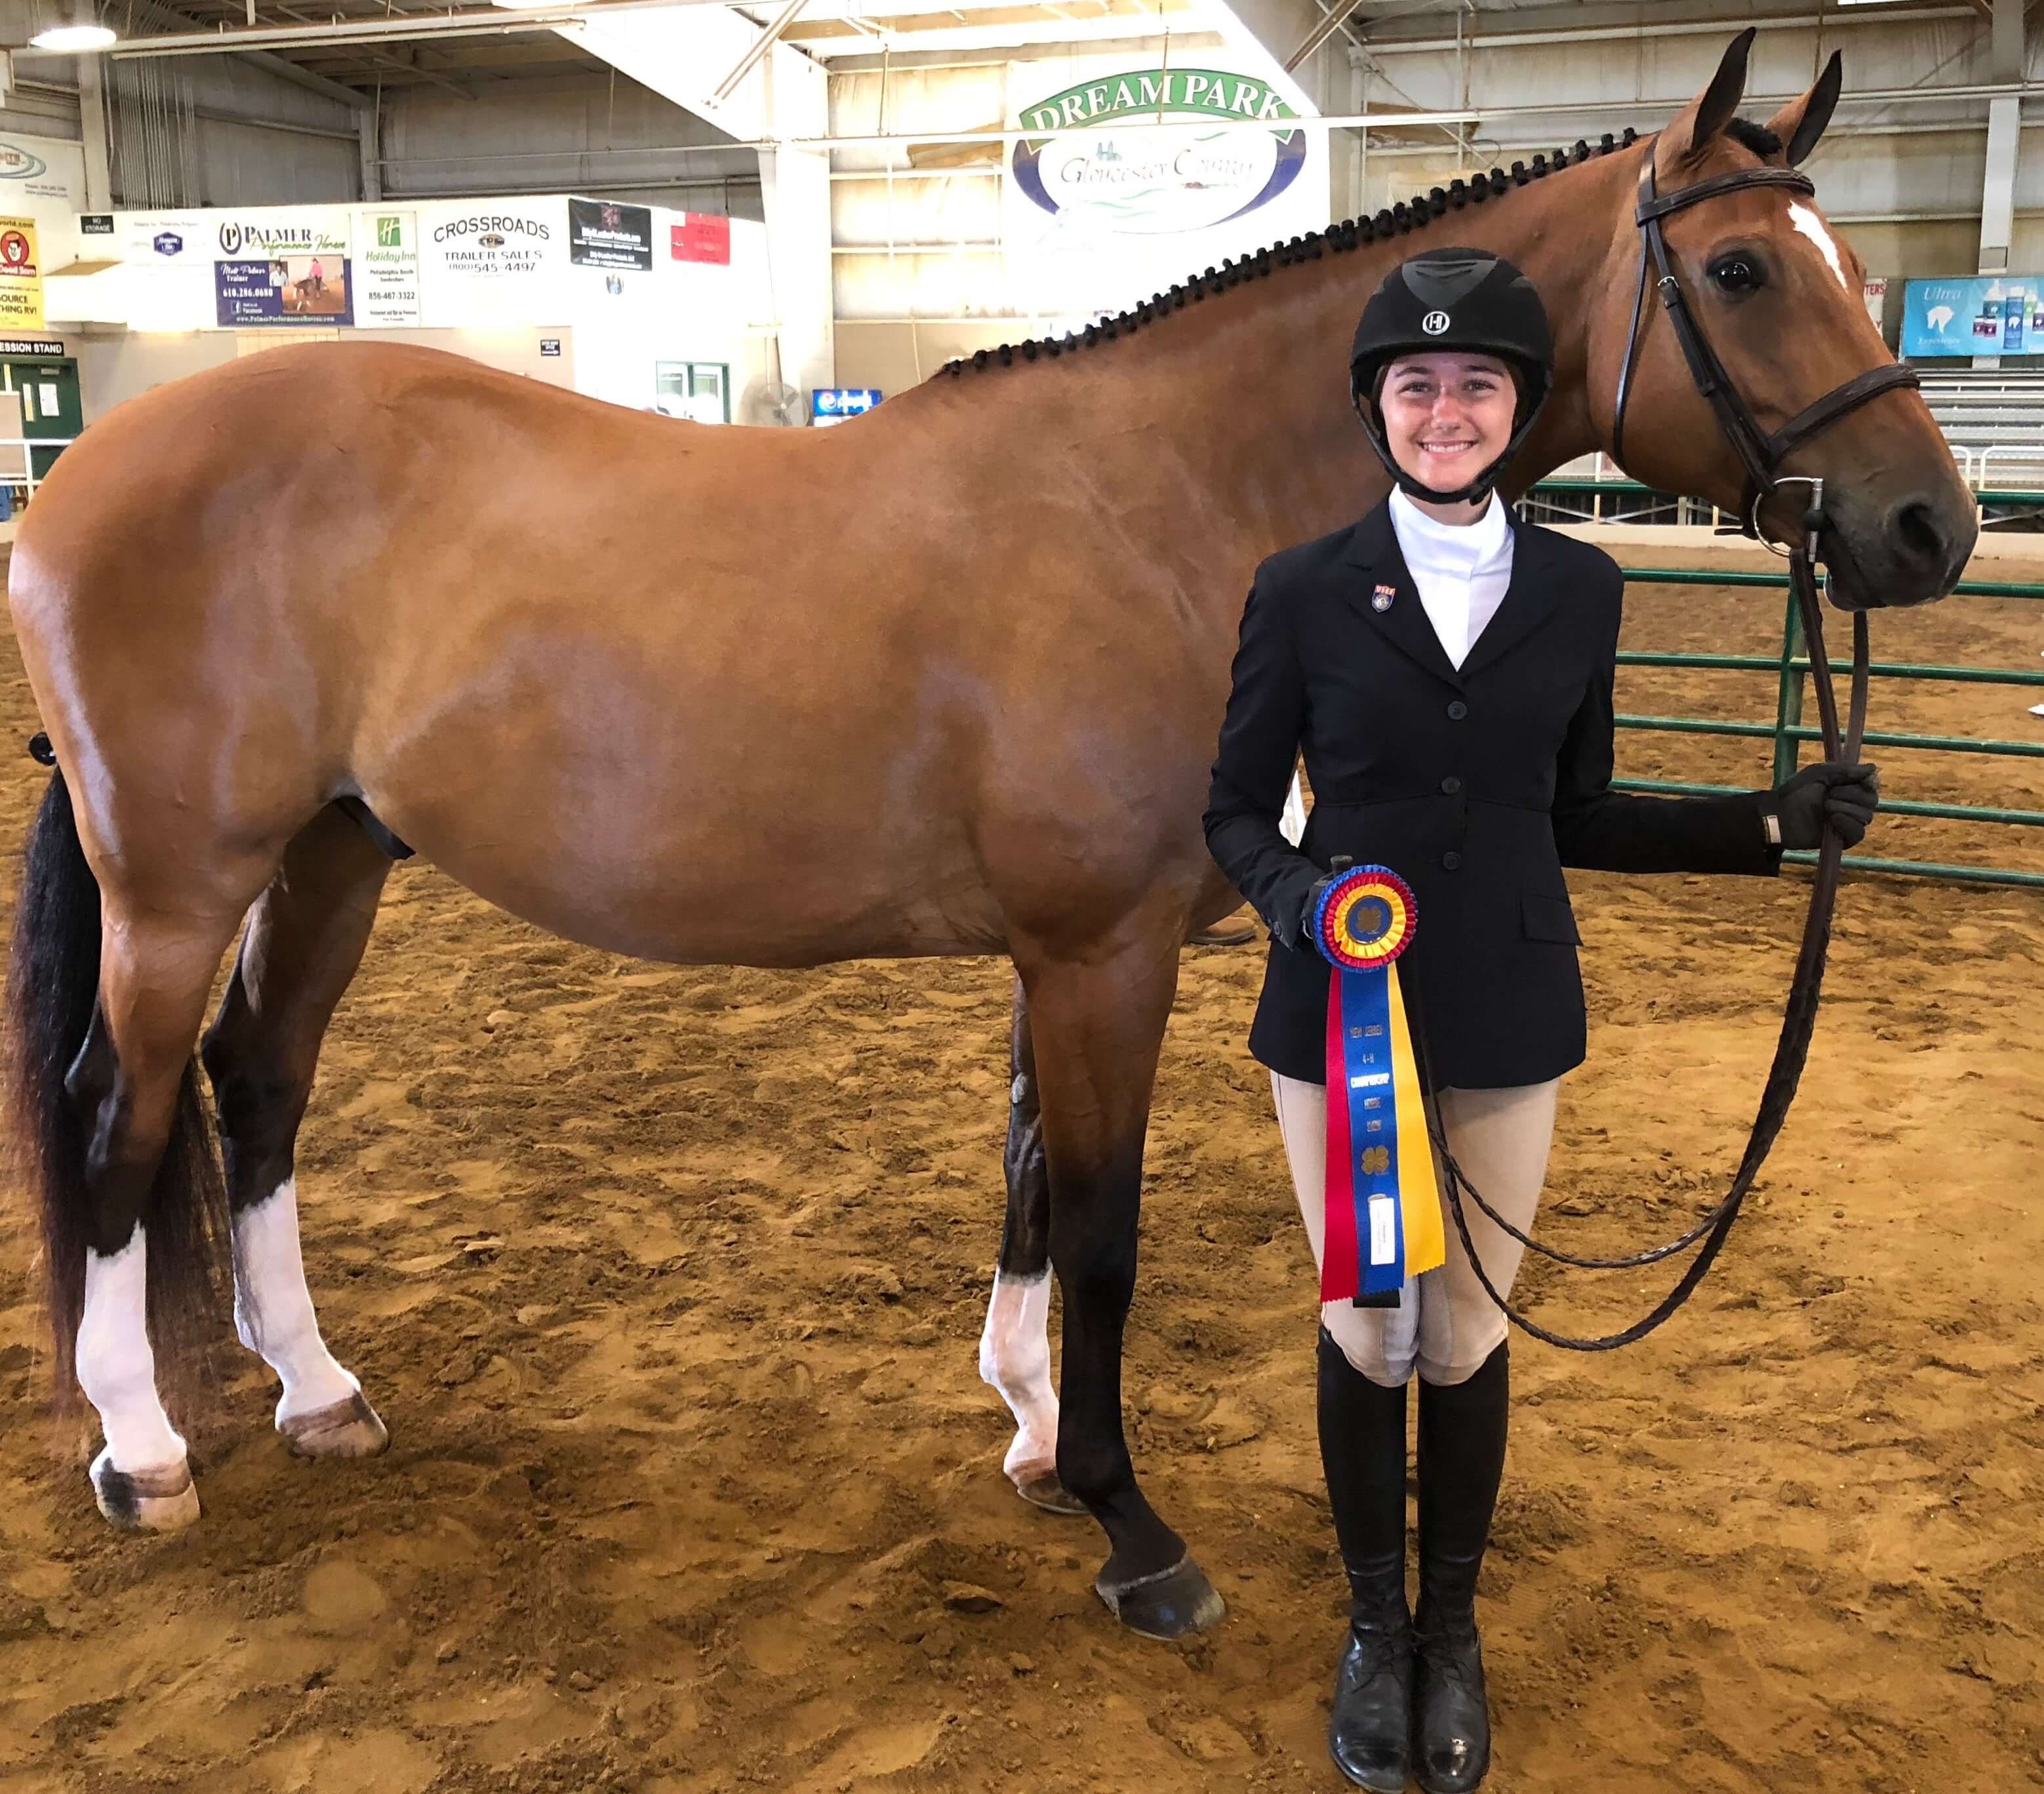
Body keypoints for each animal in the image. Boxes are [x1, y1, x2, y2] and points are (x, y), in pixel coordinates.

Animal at [4, 35, 1978, 1650]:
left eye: (1847, 263)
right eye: (1739, 267)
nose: (1927, 527)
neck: (1162, 497)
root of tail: (90, 468)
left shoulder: (1068, 952)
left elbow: (1033, 1178)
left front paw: (1031, 1431)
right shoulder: (1099, 948)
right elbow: (1098, 1220)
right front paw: (1127, 1524)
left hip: (333, 854)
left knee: (258, 1090)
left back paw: (316, 1388)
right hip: (178, 885)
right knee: (118, 1117)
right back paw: (141, 1450)